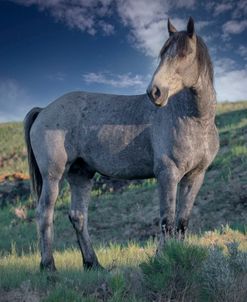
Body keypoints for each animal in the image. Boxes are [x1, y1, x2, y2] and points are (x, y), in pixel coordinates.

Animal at [24, 17, 219, 270]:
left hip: (80, 174)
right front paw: (163, 258)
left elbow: (182, 221)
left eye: (185, 54)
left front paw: (181, 256)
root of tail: (44, 109)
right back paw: (49, 267)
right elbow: (166, 220)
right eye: (162, 54)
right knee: (44, 214)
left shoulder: (195, 176)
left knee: (78, 216)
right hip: (53, 176)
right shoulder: (168, 174)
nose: (155, 92)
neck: (192, 118)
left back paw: (93, 263)